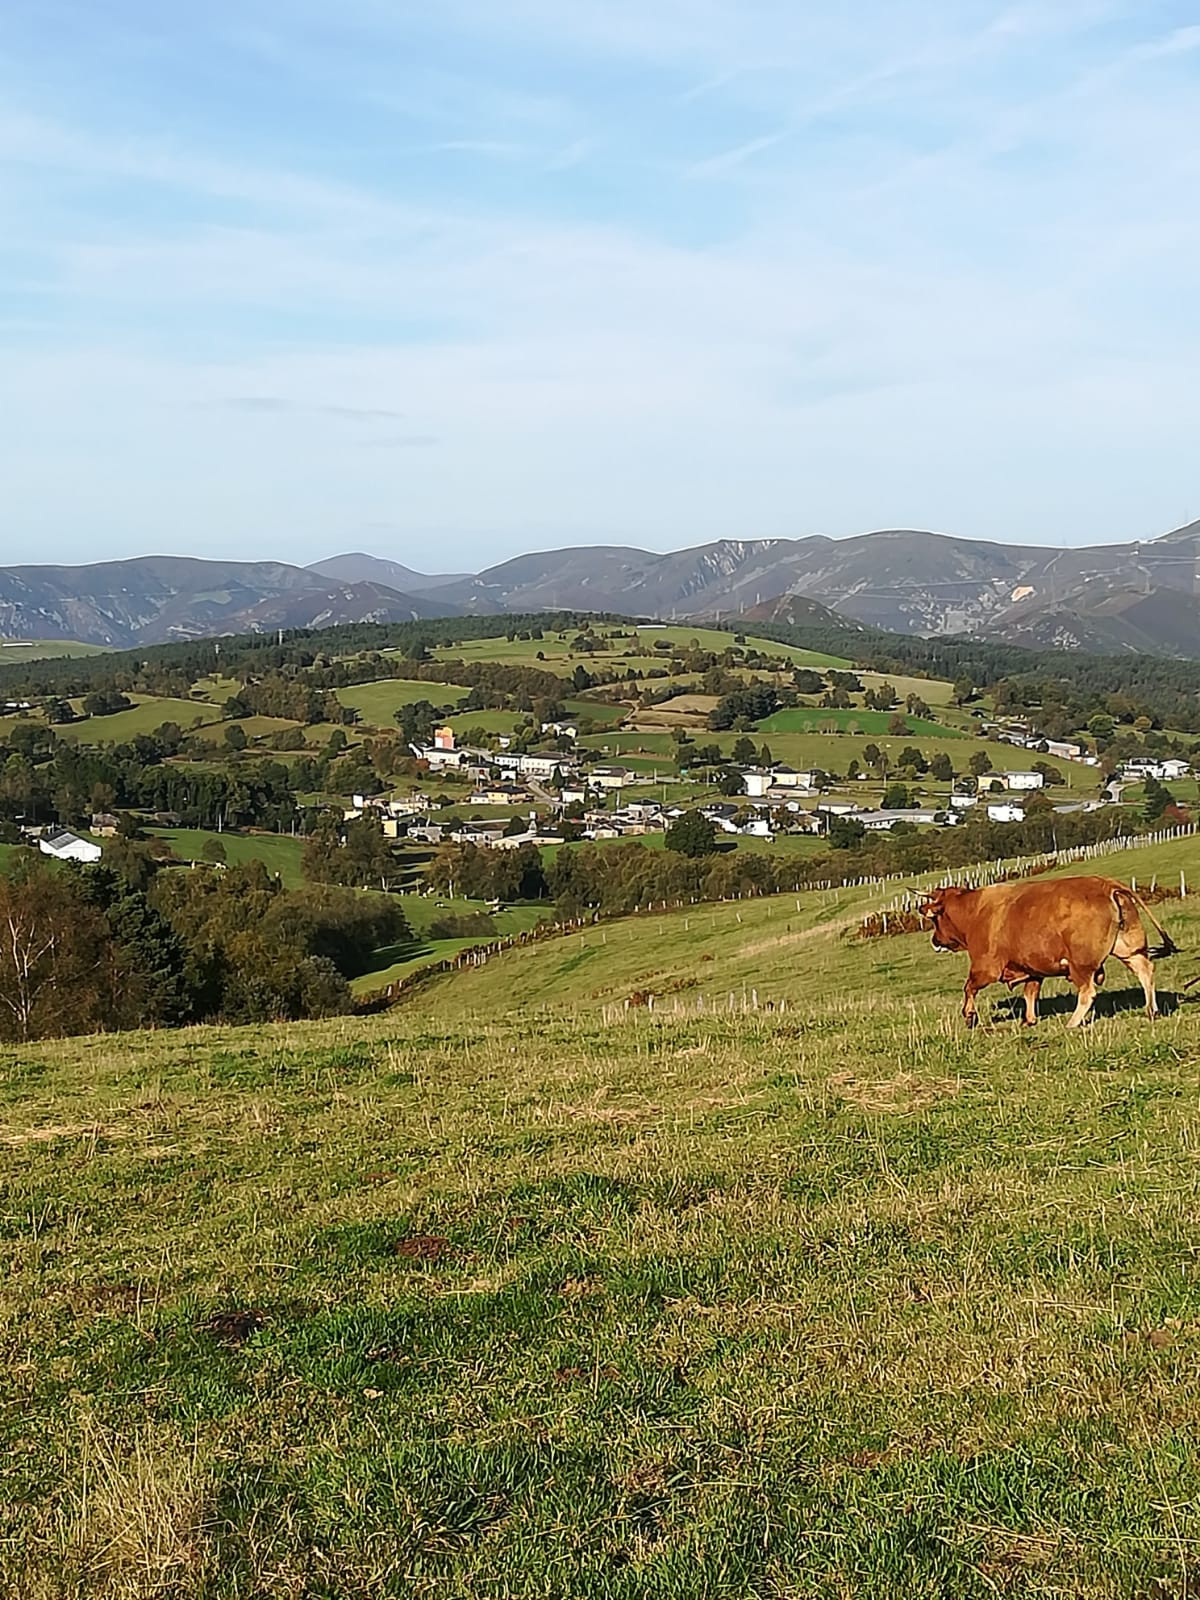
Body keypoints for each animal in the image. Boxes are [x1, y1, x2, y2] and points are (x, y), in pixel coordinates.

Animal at [928, 876, 1177, 1024]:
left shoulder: (985, 967)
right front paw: (1029, 1020)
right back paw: (1151, 1010)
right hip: (1128, 948)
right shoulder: (1031, 968)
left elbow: (969, 988)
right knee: (1145, 971)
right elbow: (1030, 992)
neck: (975, 910)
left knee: (1088, 992)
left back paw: (1072, 1023)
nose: (934, 940)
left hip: (1081, 964)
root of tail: (1107, 884)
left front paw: (969, 1015)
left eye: (935, 920)